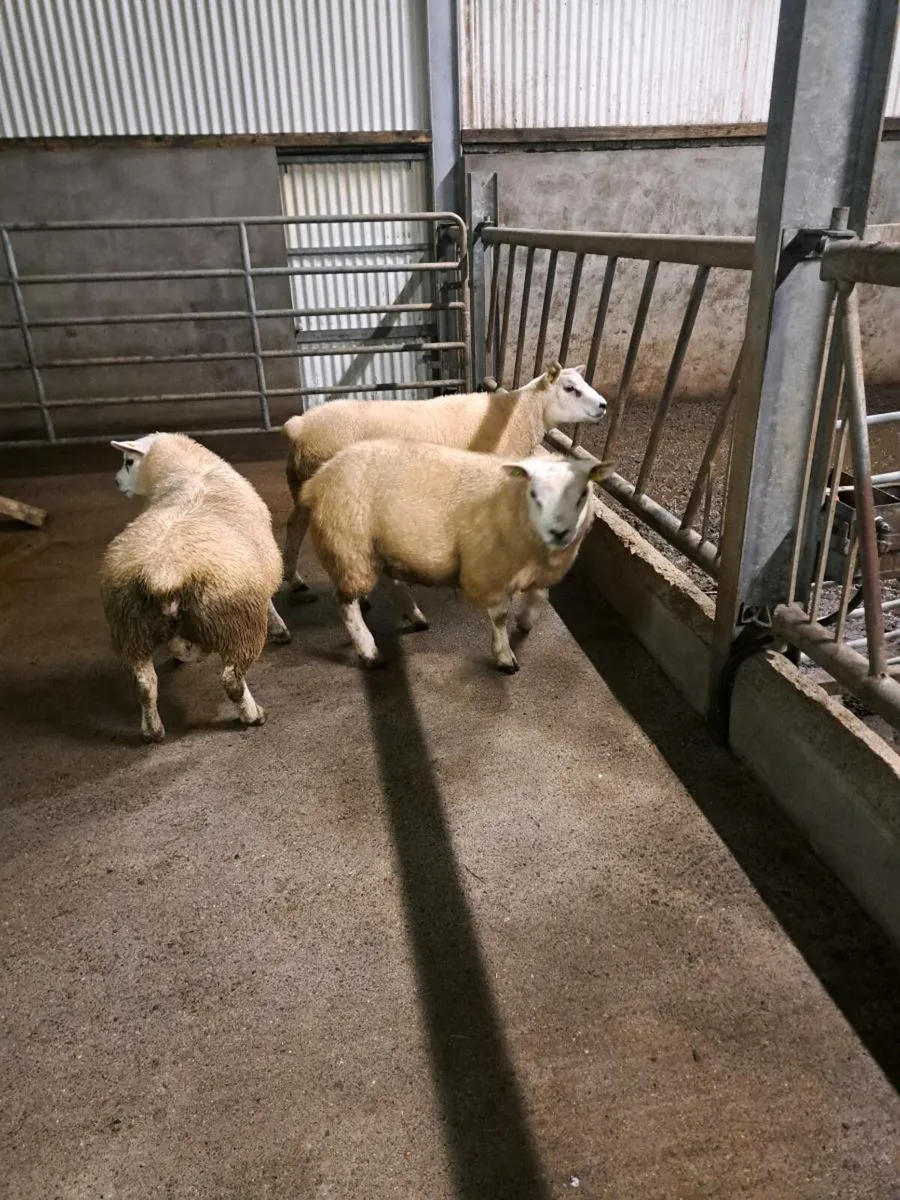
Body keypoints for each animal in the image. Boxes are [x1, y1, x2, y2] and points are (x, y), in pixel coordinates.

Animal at [101, 432, 288, 742]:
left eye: (129, 461)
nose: (116, 482)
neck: (185, 472)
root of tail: (162, 573)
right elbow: (270, 603)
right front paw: (281, 629)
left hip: (129, 626)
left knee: (144, 683)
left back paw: (153, 729)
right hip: (238, 621)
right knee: (231, 678)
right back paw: (252, 715)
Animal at [281, 362, 607, 594]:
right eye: (570, 388)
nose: (604, 405)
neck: (522, 414)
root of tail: (298, 426)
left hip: (302, 484)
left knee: (294, 526)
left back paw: (294, 578)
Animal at [301, 437, 612, 673]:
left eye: (583, 494)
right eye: (534, 494)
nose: (559, 532)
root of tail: (319, 478)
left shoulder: (538, 570)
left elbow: (539, 595)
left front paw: (526, 621)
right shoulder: (488, 572)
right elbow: (500, 616)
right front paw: (504, 656)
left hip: (376, 546)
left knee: (389, 582)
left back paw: (415, 616)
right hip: (349, 547)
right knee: (346, 602)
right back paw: (369, 652)